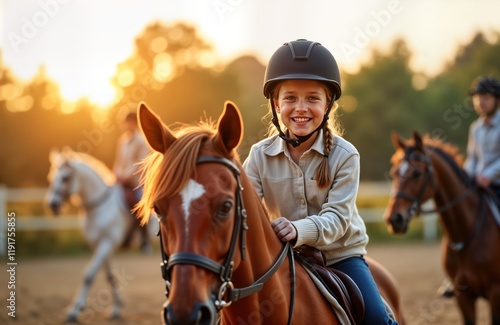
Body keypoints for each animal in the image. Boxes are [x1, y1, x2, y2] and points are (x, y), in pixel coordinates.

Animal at [47, 149, 156, 322]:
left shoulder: (106, 243)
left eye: (65, 178)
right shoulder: (100, 246)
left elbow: (88, 275)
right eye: (51, 177)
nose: (52, 204)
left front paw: (75, 310)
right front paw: (116, 309)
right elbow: (110, 276)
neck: (100, 207)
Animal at [384, 130, 500, 322]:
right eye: (394, 173)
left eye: (417, 173)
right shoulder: (464, 296)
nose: (394, 219)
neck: (466, 234)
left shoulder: (495, 293)